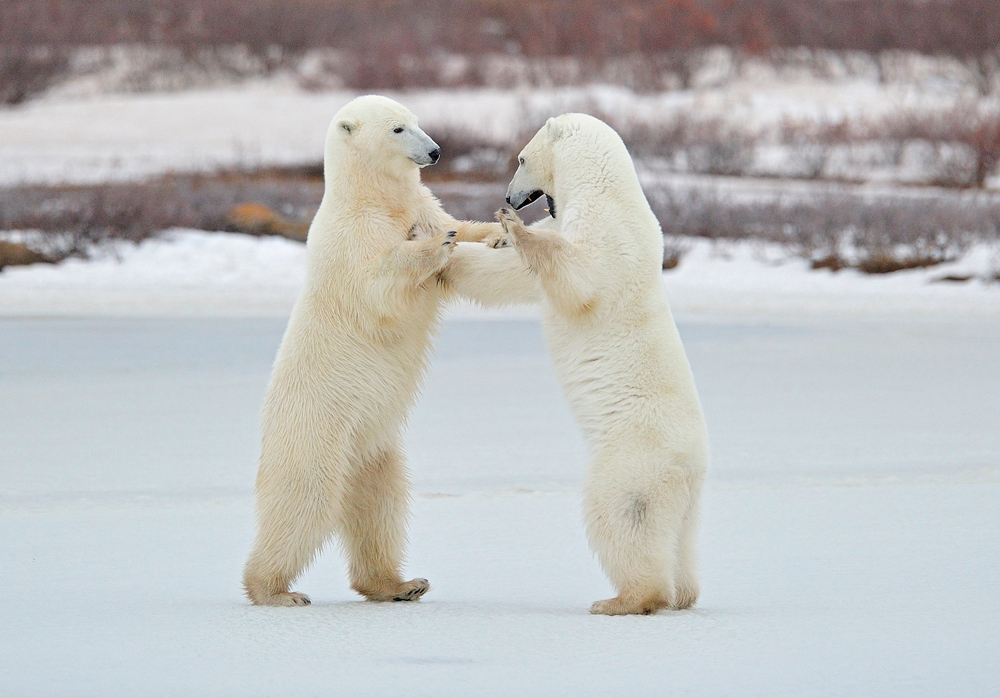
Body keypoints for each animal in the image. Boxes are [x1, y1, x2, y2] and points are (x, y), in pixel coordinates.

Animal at [242, 95, 536, 608]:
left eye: (418, 121)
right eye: (398, 129)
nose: (436, 151)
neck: (373, 197)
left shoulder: (420, 202)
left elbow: (458, 231)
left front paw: (498, 232)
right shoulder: (352, 238)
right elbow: (378, 288)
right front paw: (432, 244)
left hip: (374, 446)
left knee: (381, 507)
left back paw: (400, 583)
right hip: (316, 431)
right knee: (303, 502)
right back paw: (275, 590)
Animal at [492, 114, 712, 616]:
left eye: (521, 159)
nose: (508, 198)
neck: (605, 192)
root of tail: (689, 469)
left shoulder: (609, 237)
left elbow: (579, 276)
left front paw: (514, 228)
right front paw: (489, 239)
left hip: (632, 463)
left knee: (621, 517)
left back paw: (622, 599)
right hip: (689, 502)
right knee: (682, 541)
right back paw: (684, 593)